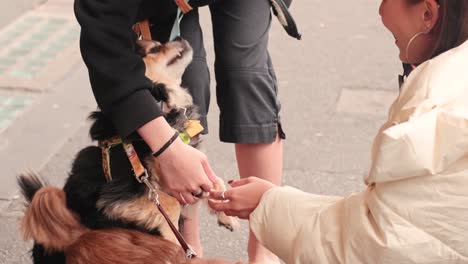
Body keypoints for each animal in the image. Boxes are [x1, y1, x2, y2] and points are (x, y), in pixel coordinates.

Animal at [18, 37, 238, 264]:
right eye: (155, 48)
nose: (179, 37)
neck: (162, 105)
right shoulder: (120, 196)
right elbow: (168, 203)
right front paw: (176, 241)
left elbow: (214, 179)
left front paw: (225, 213)